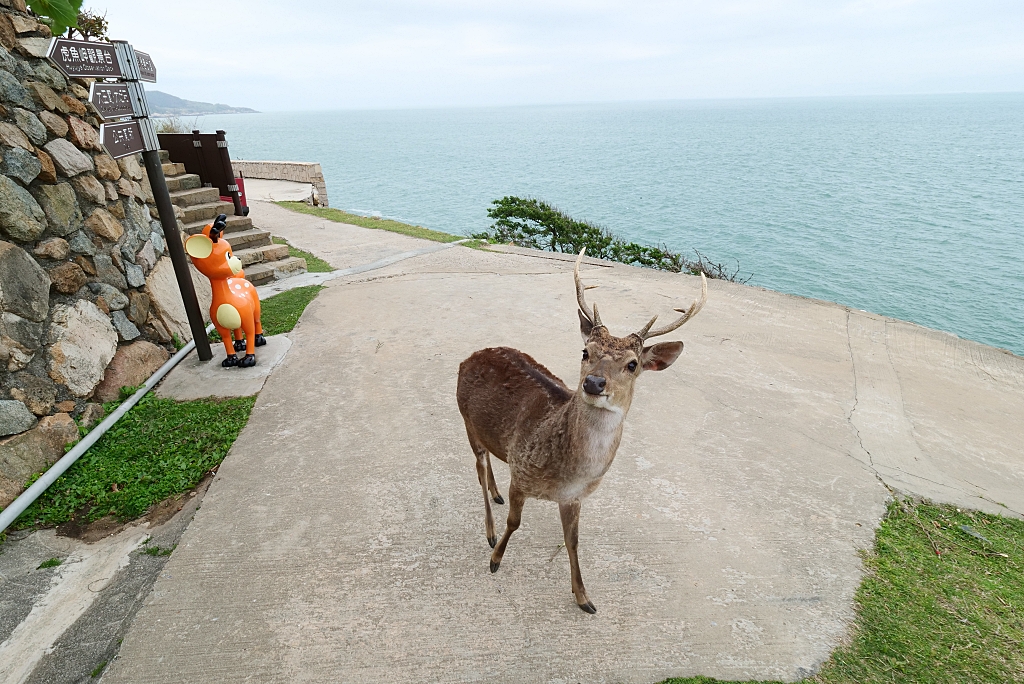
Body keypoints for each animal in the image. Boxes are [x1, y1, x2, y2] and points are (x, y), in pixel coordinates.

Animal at [454, 248, 704, 610]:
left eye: (633, 364)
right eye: (586, 351)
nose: (594, 382)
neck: (567, 471)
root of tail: (470, 356)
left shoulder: (574, 497)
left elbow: (572, 541)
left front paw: (584, 597)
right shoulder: (521, 470)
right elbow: (514, 522)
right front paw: (495, 560)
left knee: (487, 471)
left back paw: (496, 496)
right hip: (466, 421)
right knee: (479, 468)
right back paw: (489, 531)